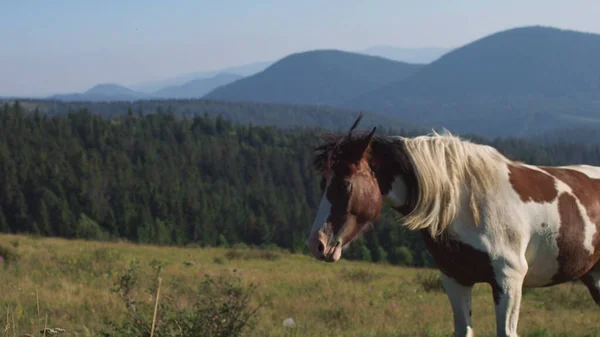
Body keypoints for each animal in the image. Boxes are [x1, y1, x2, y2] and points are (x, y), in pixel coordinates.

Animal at [308, 113, 596, 336]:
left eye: (345, 184)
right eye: (322, 183)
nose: (317, 243)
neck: (466, 202)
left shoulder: (509, 279)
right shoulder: (455, 280)